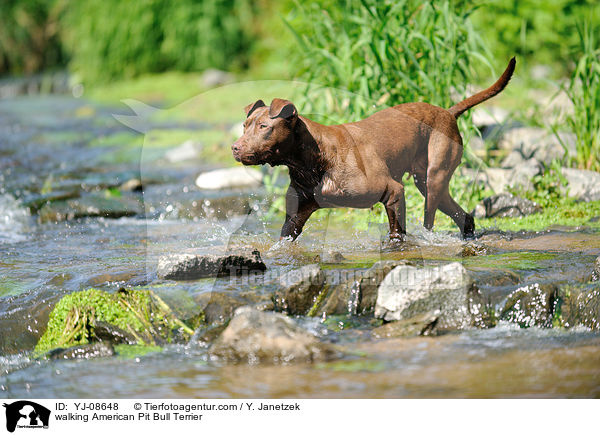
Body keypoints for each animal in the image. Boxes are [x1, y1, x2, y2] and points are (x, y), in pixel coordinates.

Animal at [232, 58, 512, 242]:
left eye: (264, 126)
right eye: (245, 125)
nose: (235, 148)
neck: (313, 159)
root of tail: (448, 112)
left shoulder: (394, 191)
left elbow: (397, 233)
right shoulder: (294, 218)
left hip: (434, 178)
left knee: (429, 222)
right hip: (428, 182)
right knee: (463, 215)